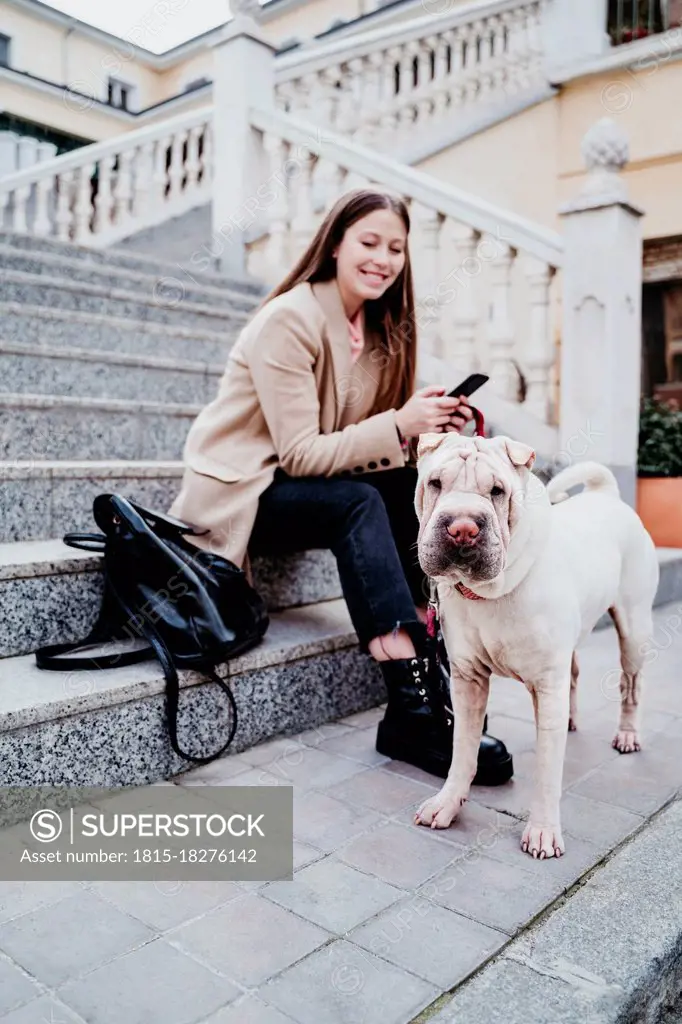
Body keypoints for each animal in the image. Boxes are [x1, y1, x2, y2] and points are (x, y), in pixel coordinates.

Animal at [411, 436, 655, 860]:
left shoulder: (546, 685)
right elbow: (462, 751)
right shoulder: (467, 680)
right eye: (436, 483)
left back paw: (627, 735)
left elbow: (546, 771)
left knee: (631, 684)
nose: (462, 528)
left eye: (497, 491)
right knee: (575, 674)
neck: (491, 592)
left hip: (634, 631)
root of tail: (607, 496)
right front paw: (448, 803)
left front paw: (542, 831)